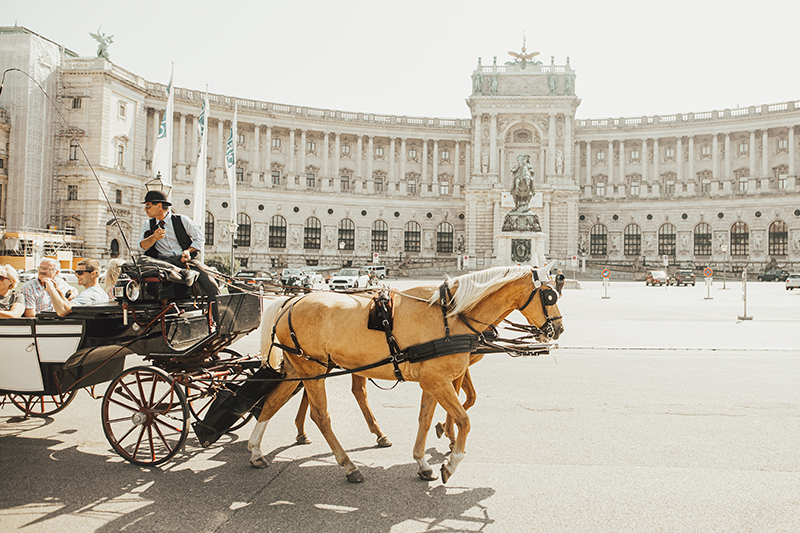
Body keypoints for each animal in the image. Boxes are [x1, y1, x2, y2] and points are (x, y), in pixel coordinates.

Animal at [247, 264, 560, 482]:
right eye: (549, 295)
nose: (559, 328)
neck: (450, 317)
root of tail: (290, 301)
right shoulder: (439, 380)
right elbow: (464, 418)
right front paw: (451, 461)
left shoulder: (433, 381)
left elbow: (426, 419)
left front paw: (423, 462)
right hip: (313, 368)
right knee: (321, 415)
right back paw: (349, 466)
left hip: (300, 367)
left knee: (273, 401)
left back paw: (256, 451)